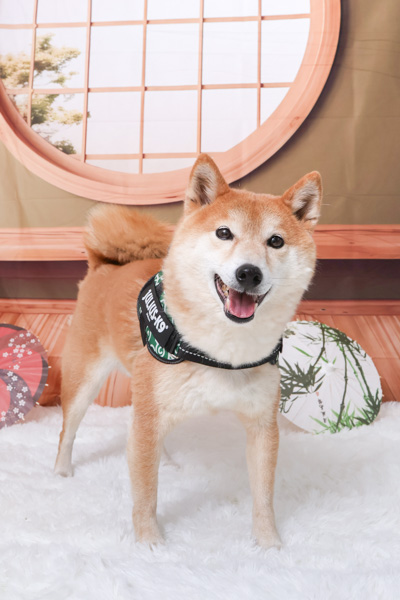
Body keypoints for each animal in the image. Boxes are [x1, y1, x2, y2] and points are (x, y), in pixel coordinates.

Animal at [54, 154, 322, 548]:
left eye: (276, 241)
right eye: (224, 233)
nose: (249, 273)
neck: (221, 352)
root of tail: (104, 265)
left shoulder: (262, 425)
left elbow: (263, 495)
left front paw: (269, 544)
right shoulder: (146, 420)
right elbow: (145, 494)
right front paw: (150, 544)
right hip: (84, 381)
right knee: (69, 431)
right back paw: (61, 472)